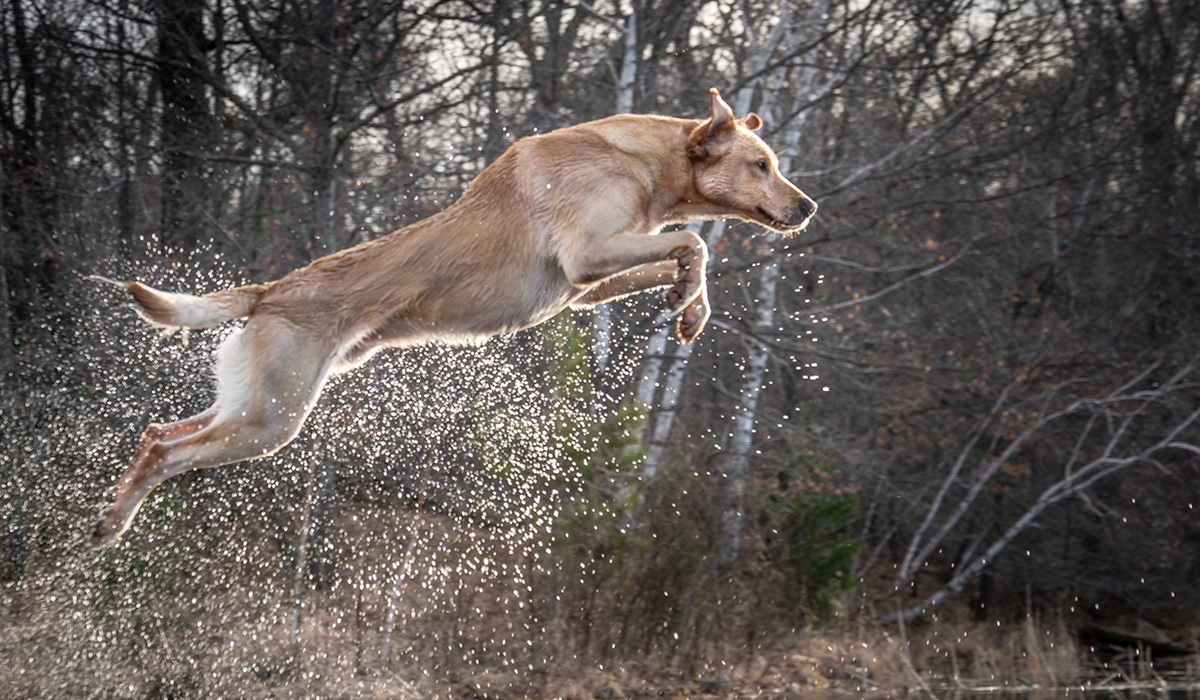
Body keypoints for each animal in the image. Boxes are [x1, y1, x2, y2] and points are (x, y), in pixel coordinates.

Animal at [91, 88, 816, 547]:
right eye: (761, 165)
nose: (808, 207)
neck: (644, 161)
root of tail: (270, 290)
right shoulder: (589, 255)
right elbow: (694, 242)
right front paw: (691, 293)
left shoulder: (586, 286)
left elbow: (685, 256)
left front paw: (691, 308)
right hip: (273, 416)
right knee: (168, 448)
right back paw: (113, 521)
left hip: (251, 404)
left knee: (158, 433)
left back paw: (112, 516)